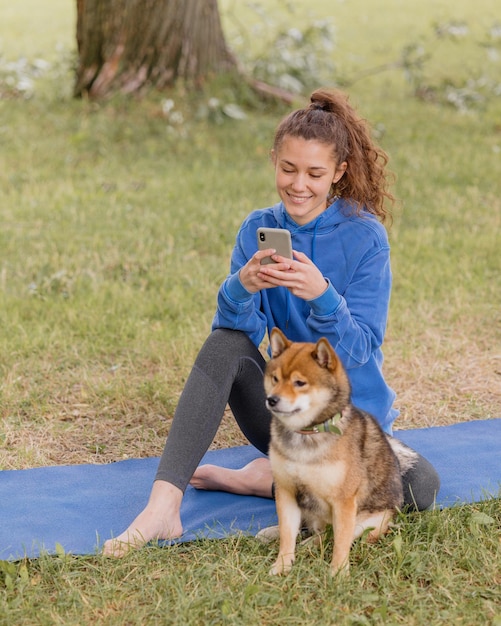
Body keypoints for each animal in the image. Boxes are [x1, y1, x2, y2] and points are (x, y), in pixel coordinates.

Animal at [266, 326, 406, 576]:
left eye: (299, 382)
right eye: (275, 378)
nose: (271, 399)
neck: (306, 434)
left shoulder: (344, 501)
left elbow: (341, 541)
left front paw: (338, 573)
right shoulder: (286, 491)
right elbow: (286, 533)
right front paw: (282, 564)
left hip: (369, 520)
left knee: (337, 535)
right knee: (320, 532)